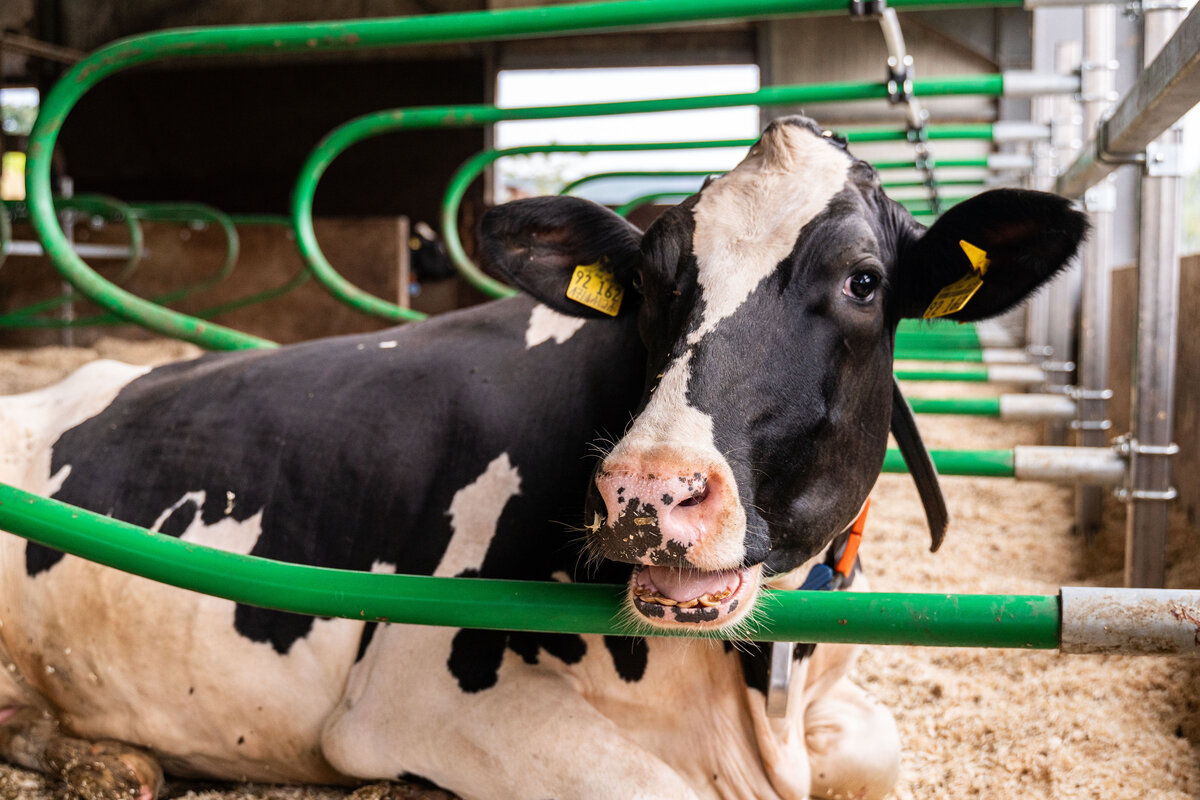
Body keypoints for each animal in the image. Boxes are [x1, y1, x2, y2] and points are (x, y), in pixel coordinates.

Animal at [0, 113, 1089, 800]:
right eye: (650, 281)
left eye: (864, 280)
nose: (650, 489)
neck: (748, 694)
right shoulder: (415, 694)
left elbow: (879, 743)